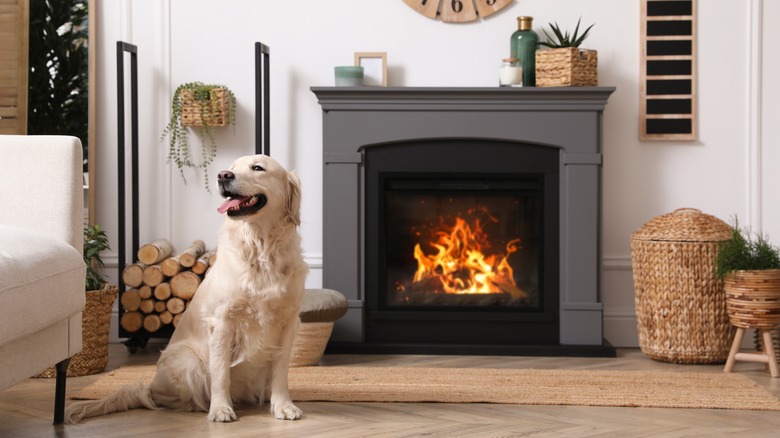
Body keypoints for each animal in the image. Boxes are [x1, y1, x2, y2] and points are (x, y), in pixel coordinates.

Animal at [65, 155, 308, 424]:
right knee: (156, 398)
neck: (261, 248)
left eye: (258, 168)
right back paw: (197, 405)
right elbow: (220, 372)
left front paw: (283, 405)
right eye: (232, 168)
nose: (223, 176)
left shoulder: (288, 321)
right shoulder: (222, 321)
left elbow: (280, 369)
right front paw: (220, 409)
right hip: (187, 360)